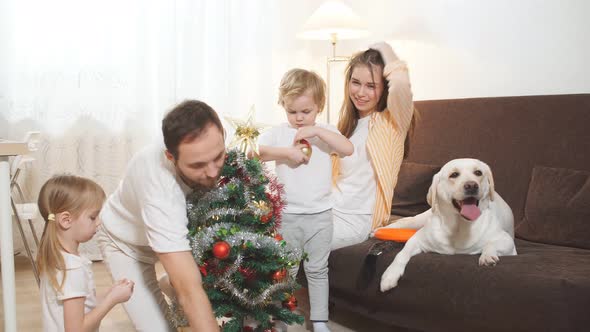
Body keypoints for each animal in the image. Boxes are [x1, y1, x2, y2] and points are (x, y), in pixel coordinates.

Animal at [380, 158, 520, 290]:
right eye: (454, 174)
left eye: (478, 172)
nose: (472, 185)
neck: (459, 227)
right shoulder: (417, 239)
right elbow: (401, 254)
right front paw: (389, 275)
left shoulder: (508, 242)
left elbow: (490, 244)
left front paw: (487, 256)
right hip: (419, 220)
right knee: (406, 221)